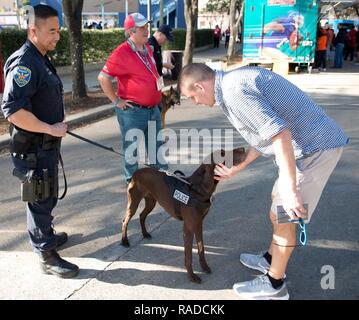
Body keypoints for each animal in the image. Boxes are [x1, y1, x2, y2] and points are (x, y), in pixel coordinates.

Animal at [121, 147, 248, 282]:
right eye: (222, 154)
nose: (243, 148)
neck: (197, 189)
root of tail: (136, 172)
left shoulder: (199, 224)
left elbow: (201, 248)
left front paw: (204, 267)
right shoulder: (188, 229)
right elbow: (189, 256)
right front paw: (192, 276)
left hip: (151, 201)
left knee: (142, 215)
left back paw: (145, 234)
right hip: (133, 202)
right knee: (125, 220)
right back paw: (124, 240)